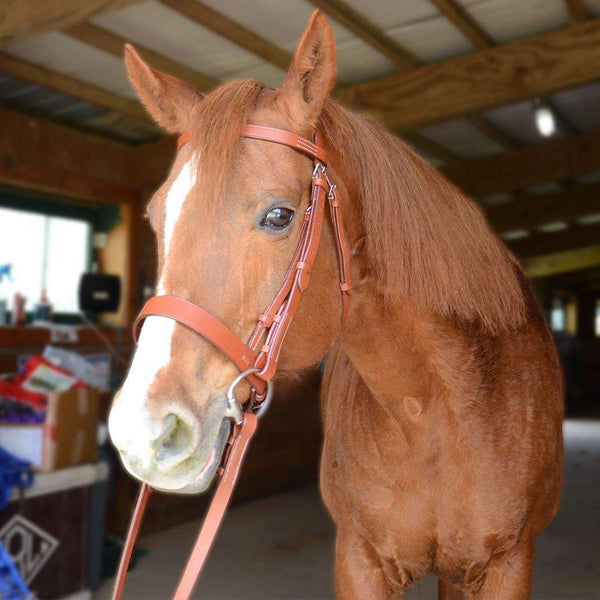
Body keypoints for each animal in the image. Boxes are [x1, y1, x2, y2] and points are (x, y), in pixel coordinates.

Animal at [108, 11, 564, 596]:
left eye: (279, 216)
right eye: (154, 217)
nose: (142, 432)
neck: (437, 412)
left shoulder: (507, 562)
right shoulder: (360, 559)